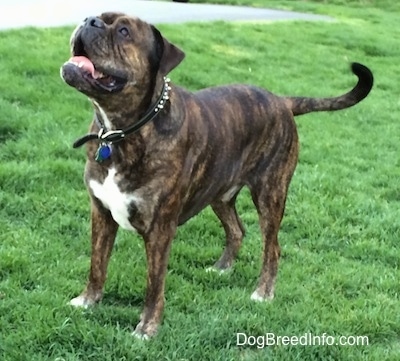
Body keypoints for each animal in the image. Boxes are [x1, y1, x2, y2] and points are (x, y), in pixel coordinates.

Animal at [59, 11, 372, 338]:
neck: (120, 132)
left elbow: (154, 285)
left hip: (270, 195)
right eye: (96, 17)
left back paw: (263, 292)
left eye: (123, 31)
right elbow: (97, 264)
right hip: (220, 194)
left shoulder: (159, 230)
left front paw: (147, 328)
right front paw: (88, 300)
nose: (89, 20)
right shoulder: (100, 213)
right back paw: (222, 268)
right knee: (236, 230)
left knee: (272, 248)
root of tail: (282, 101)